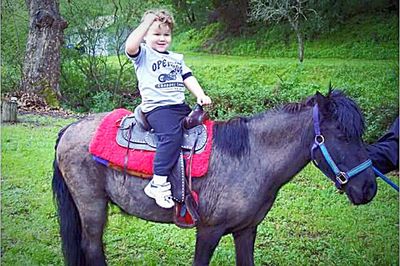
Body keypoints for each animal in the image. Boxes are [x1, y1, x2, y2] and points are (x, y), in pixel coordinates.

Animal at [51, 90, 376, 266]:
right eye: (343, 135)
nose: (369, 188)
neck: (252, 158)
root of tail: (70, 128)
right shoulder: (208, 230)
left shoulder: (246, 231)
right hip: (92, 206)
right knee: (92, 247)